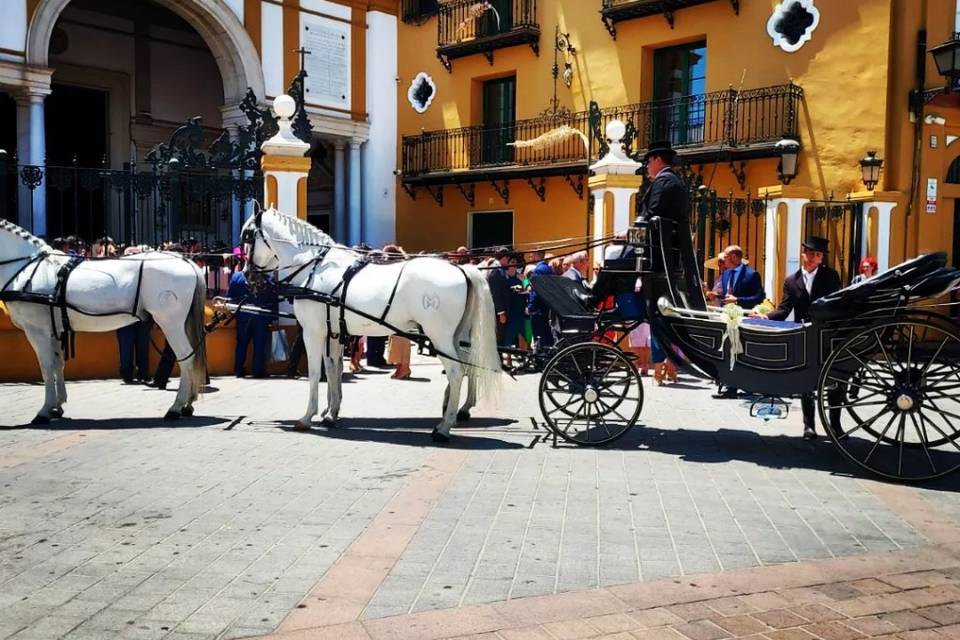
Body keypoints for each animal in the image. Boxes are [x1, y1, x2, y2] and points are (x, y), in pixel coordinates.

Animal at [0, 220, 209, 424]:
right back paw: (187, 404)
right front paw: (57, 407)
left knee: (186, 358)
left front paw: (44, 411)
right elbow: (58, 364)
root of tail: (185, 261)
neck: (28, 270)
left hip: (171, 323)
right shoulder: (54, 330)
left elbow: (46, 366)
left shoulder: (37, 330)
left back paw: (176, 407)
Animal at [242, 210, 502, 440]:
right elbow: (333, 369)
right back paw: (455, 411)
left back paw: (444, 427)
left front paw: (308, 417)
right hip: (456, 336)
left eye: (247, 236)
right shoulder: (333, 332)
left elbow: (316, 372)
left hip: (439, 336)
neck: (313, 268)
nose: (247, 275)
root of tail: (462, 269)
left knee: (457, 372)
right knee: (467, 367)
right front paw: (331, 414)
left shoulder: (314, 332)